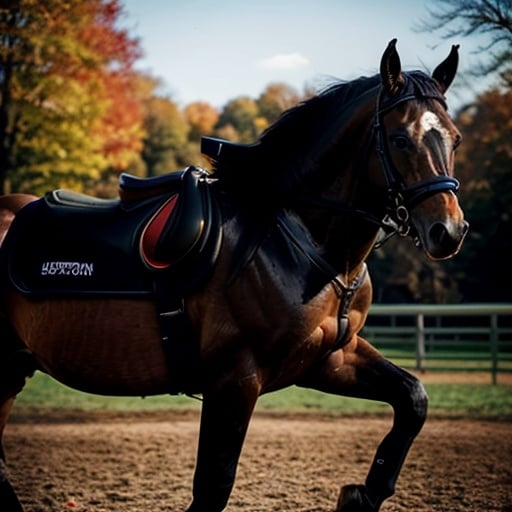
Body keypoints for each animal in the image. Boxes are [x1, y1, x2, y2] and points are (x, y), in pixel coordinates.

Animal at [0, 41, 468, 512]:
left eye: (455, 138)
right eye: (400, 138)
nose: (448, 230)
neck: (300, 237)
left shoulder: (330, 358)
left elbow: (413, 398)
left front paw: (361, 496)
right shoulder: (235, 378)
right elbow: (214, 484)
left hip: (13, 368)